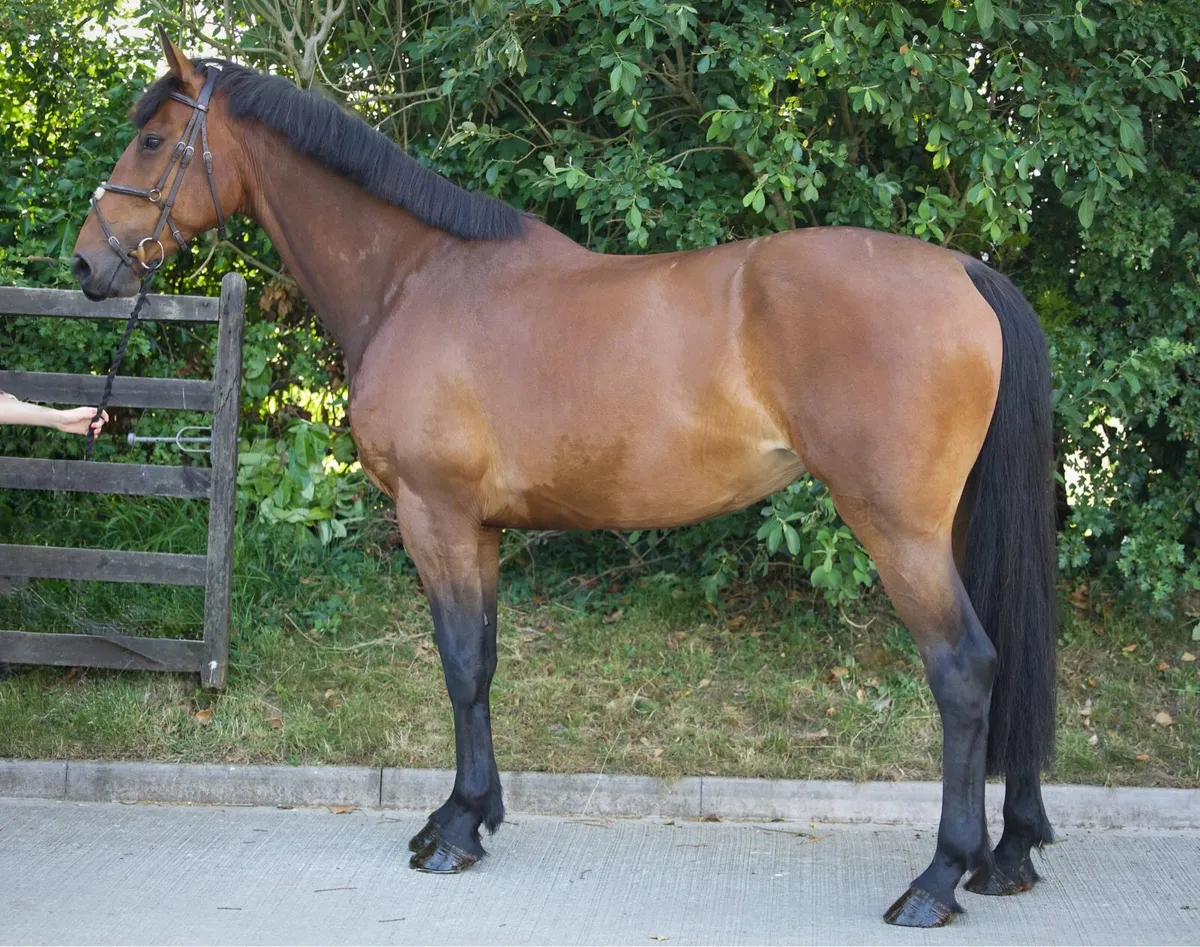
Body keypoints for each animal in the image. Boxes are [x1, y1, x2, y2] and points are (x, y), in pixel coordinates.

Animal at [70, 31, 1058, 928]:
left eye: (153, 140)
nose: (87, 263)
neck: (416, 279)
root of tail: (964, 270)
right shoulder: (479, 528)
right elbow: (483, 661)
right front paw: (471, 812)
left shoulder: (434, 515)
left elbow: (459, 662)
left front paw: (453, 834)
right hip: (949, 526)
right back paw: (1008, 855)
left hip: (898, 529)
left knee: (965, 669)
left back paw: (937, 879)